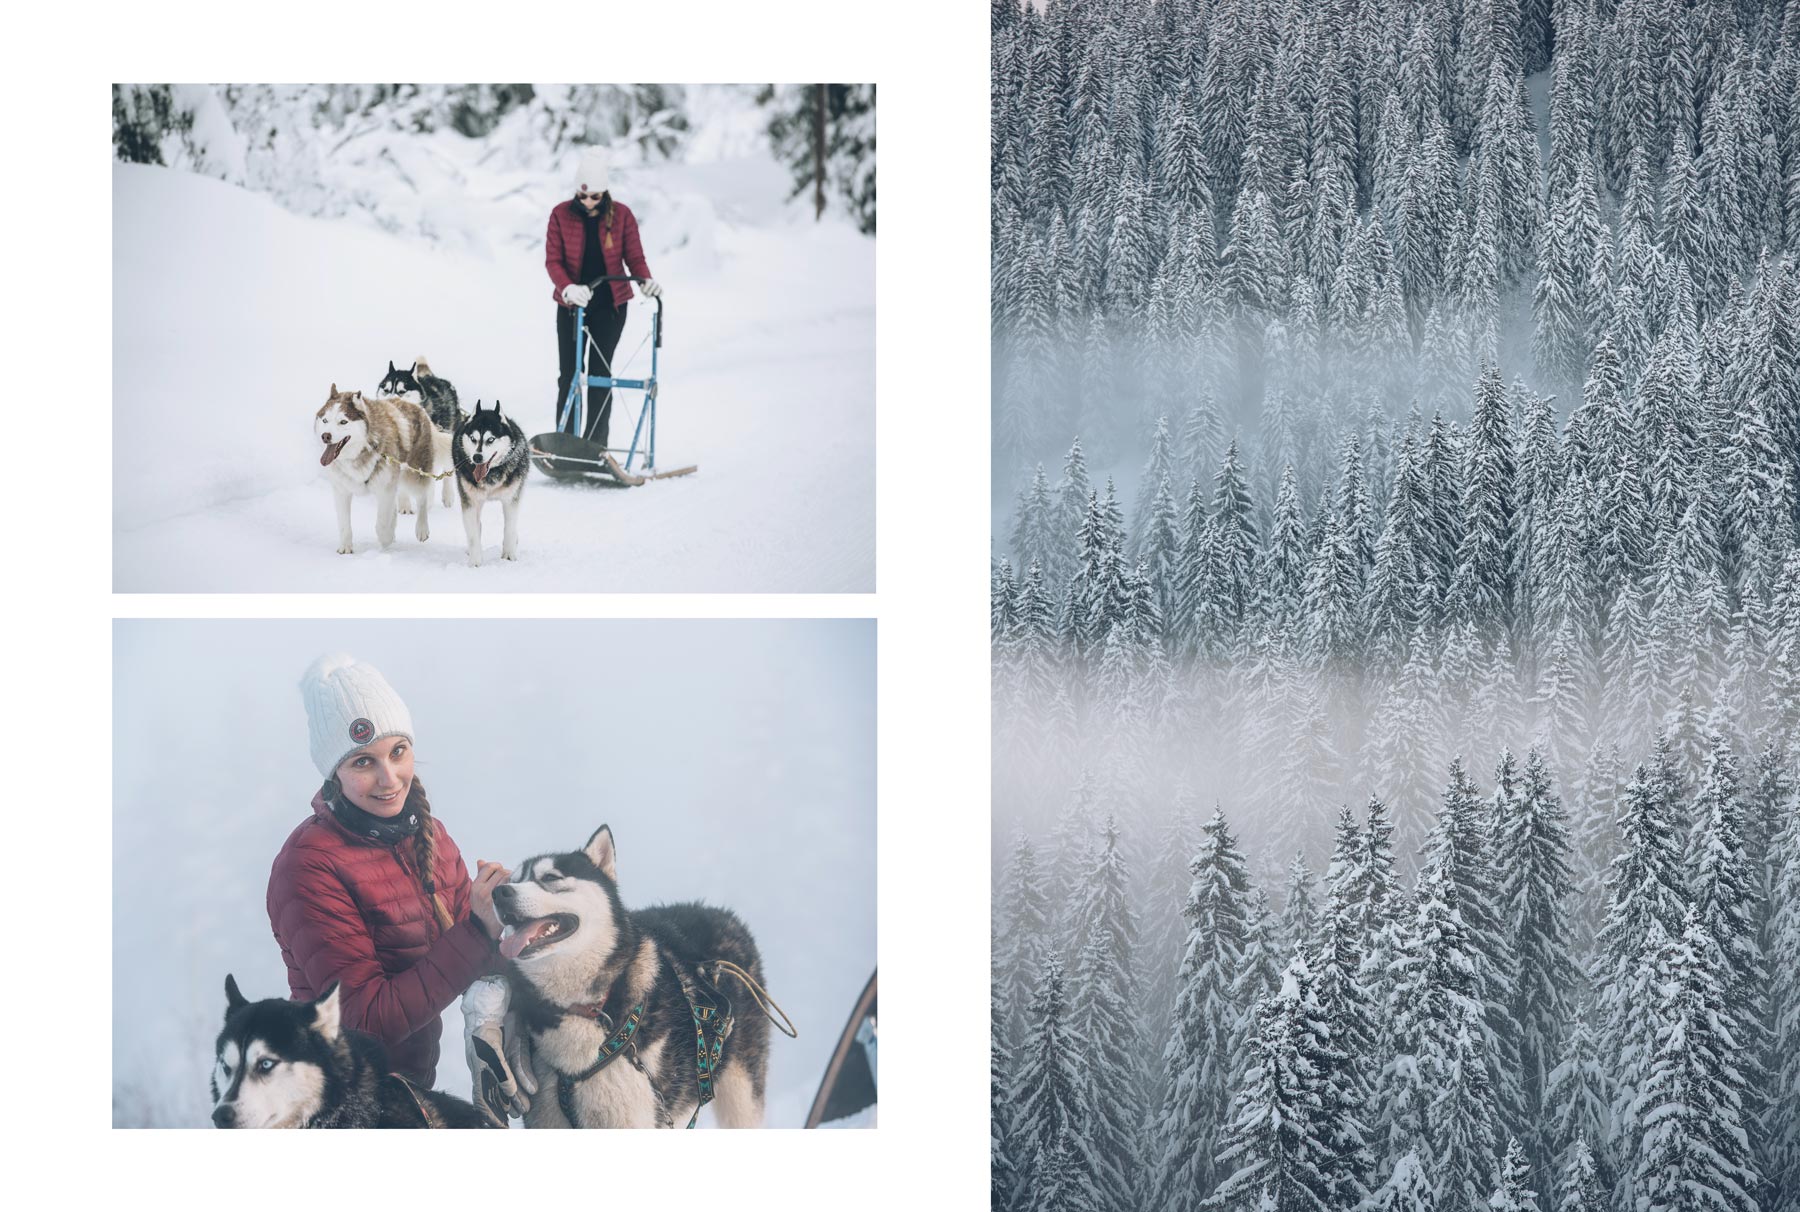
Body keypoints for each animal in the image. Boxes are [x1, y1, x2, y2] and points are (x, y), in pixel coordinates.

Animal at [309, 383, 435, 554]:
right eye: (325, 420)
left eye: (343, 422)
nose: (325, 436)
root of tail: (412, 404)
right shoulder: (342, 491)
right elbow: (344, 525)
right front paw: (345, 547)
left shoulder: (385, 490)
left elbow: (382, 524)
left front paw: (386, 540)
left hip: (413, 475)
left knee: (422, 499)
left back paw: (421, 528)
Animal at [453, 399, 529, 565]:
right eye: (473, 439)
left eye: (490, 439)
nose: (477, 457)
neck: (491, 474)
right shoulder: (470, 501)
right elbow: (473, 534)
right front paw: (475, 561)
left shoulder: (511, 500)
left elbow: (509, 528)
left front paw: (509, 555)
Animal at [496, 821, 770, 1123]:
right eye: (514, 879)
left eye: (551, 877)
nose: (499, 892)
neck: (584, 1008)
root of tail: (720, 914)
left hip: (740, 1095)